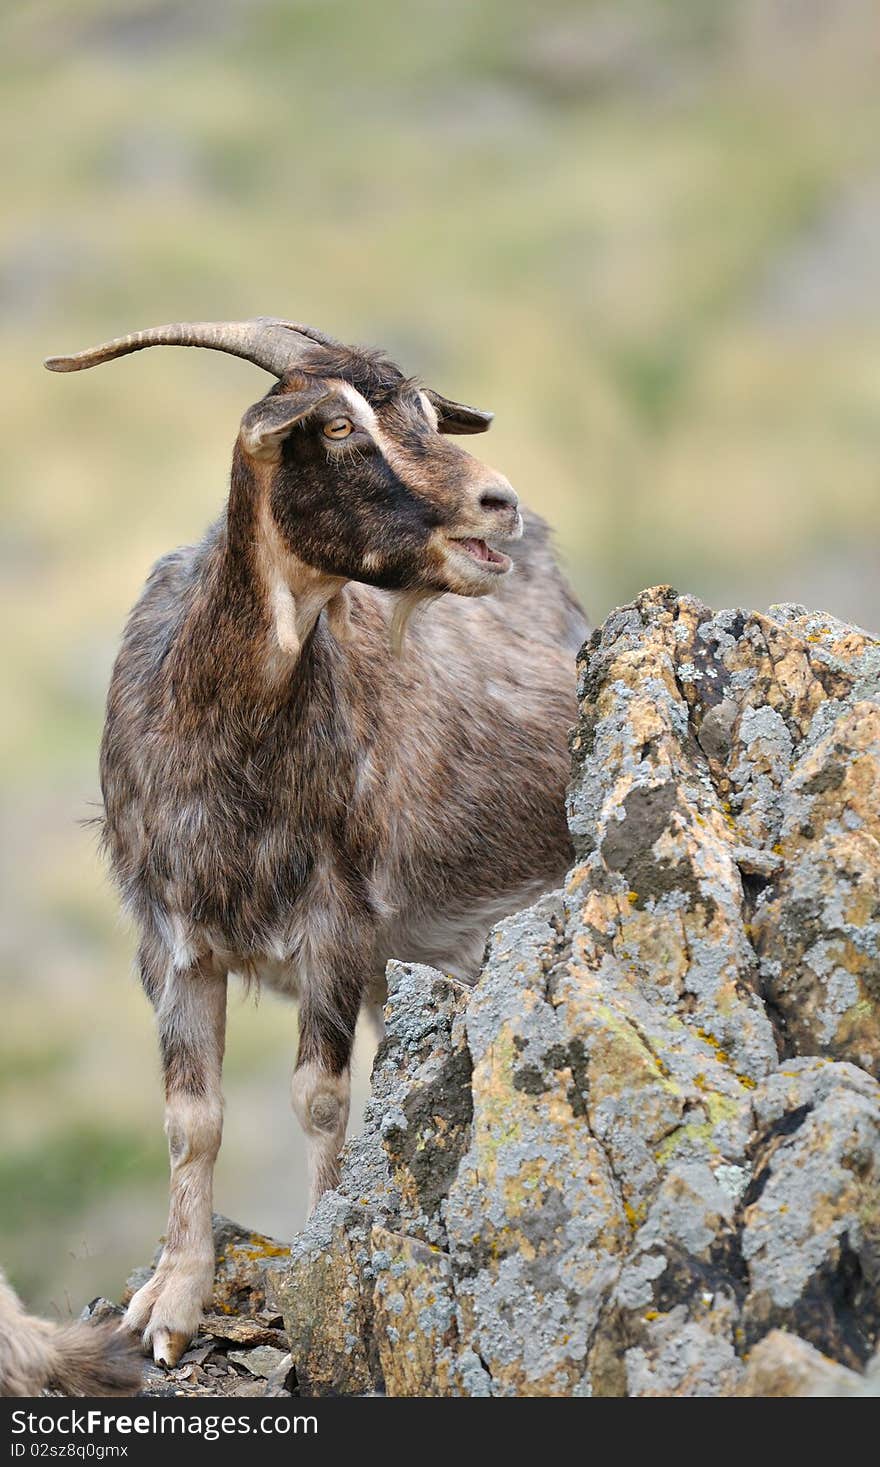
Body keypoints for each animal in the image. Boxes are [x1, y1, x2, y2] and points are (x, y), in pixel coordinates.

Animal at [44, 318, 586, 1361]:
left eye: (425, 414)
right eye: (335, 426)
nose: (497, 504)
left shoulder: (338, 920)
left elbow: (320, 1098)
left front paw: (321, 1250)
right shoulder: (169, 937)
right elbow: (191, 1118)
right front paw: (171, 1303)